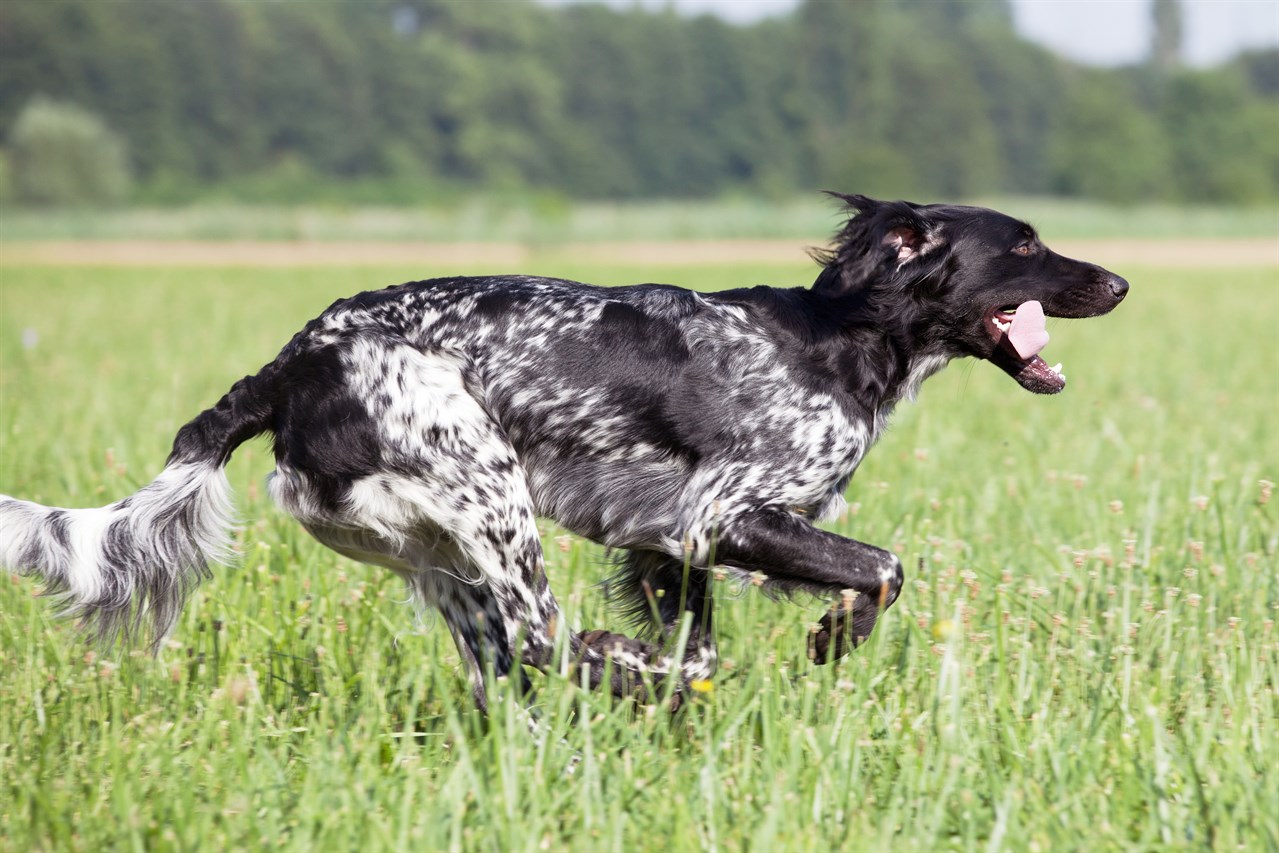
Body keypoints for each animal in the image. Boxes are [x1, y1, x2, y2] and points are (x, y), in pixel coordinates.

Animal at [0, 196, 1130, 711]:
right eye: (1023, 245)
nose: (1118, 282)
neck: (836, 340)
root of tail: (287, 365)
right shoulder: (724, 515)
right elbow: (883, 569)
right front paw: (826, 641)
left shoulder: (665, 545)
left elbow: (701, 650)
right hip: (487, 492)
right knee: (542, 639)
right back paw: (606, 661)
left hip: (439, 551)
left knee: (506, 661)